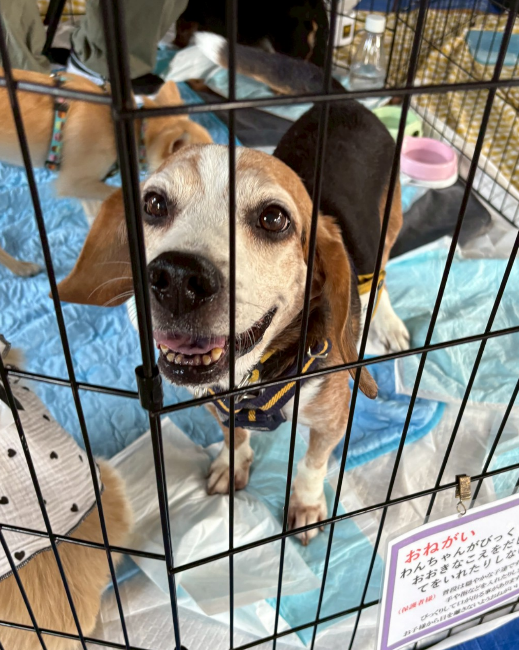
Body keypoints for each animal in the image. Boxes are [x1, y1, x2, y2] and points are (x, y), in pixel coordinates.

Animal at [55, 87, 409, 543]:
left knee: (381, 278)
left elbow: (313, 464)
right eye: (153, 204)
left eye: (274, 218)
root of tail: (346, 98)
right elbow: (234, 436)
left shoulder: (333, 419)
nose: (176, 278)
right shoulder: (215, 405)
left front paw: (307, 504)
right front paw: (232, 464)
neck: (252, 381)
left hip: (390, 225)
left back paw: (388, 322)